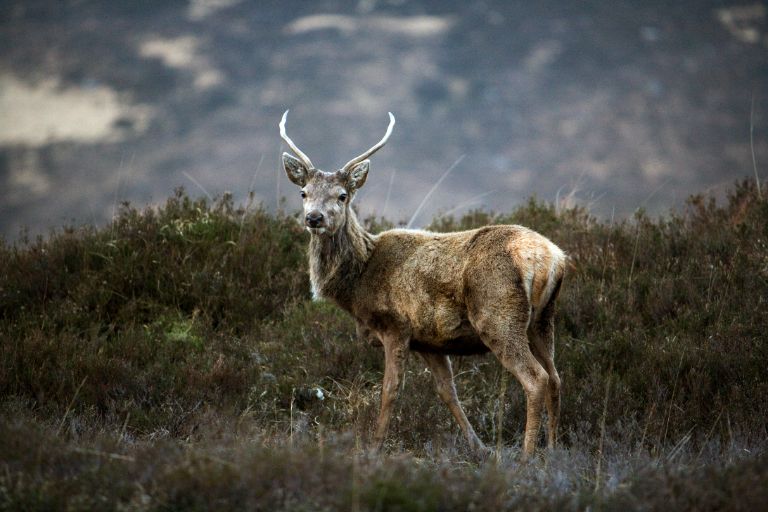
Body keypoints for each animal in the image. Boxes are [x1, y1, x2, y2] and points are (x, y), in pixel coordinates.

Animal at [279, 110, 567, 459]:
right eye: (304, 193)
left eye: (342, 195)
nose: (314, 218)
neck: (359, 283)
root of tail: (552, 258)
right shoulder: (430, 340)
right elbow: (447, 391)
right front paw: (479, 447)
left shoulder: (395, 326)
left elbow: (389, 390)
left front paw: (373, 448)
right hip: (543, 319)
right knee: (555, 378)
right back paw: (552, 451)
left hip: (499, 316)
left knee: (536, 379)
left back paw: (526, 457)